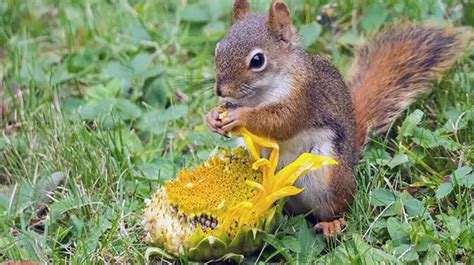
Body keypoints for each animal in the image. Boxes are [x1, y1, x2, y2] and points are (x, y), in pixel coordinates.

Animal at [206, 0, 468, 235]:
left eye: (257, 60)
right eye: (217, 49)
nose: (221, 90)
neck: (258, 95)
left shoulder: (304, 97)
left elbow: (281, 123)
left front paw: (241, 117)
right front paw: (213, 116)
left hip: (327, 175)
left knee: (338, 207)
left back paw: (332, 224)